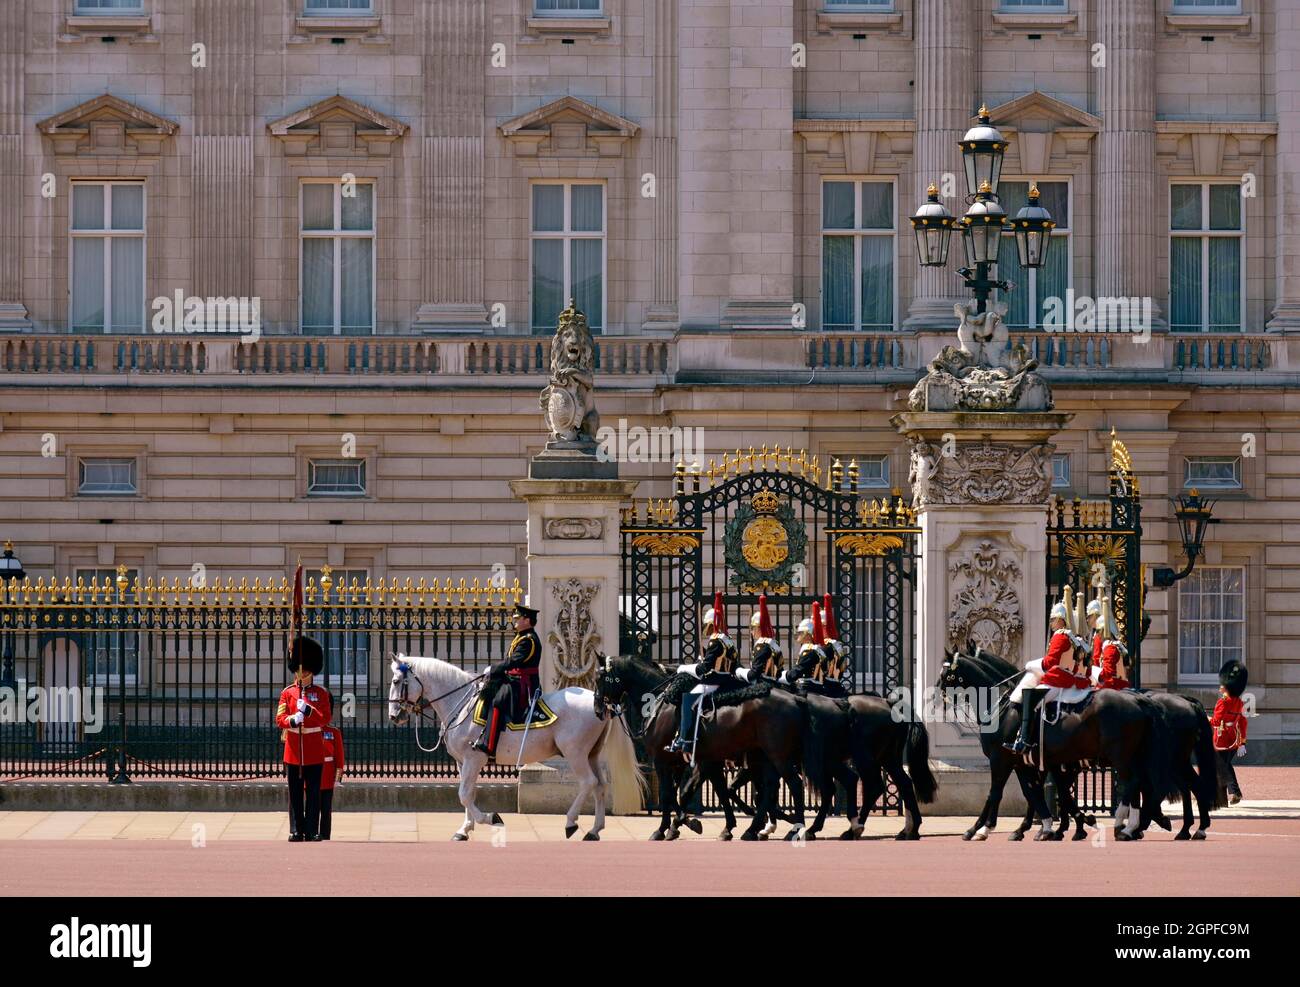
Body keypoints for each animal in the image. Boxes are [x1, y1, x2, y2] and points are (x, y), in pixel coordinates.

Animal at [387, 655, 647, 842]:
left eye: (397, 682)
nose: (394, 717)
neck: (460, 705)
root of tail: (600, 702)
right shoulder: (462, 762)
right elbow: (466, 794)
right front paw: (464, 829)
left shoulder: (474, 759)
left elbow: (464, 795)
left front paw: (490, 818)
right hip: (591, 754)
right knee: (600, 785)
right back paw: (594, 830)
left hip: (575, 753)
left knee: (588, 783)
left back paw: (571, 823)